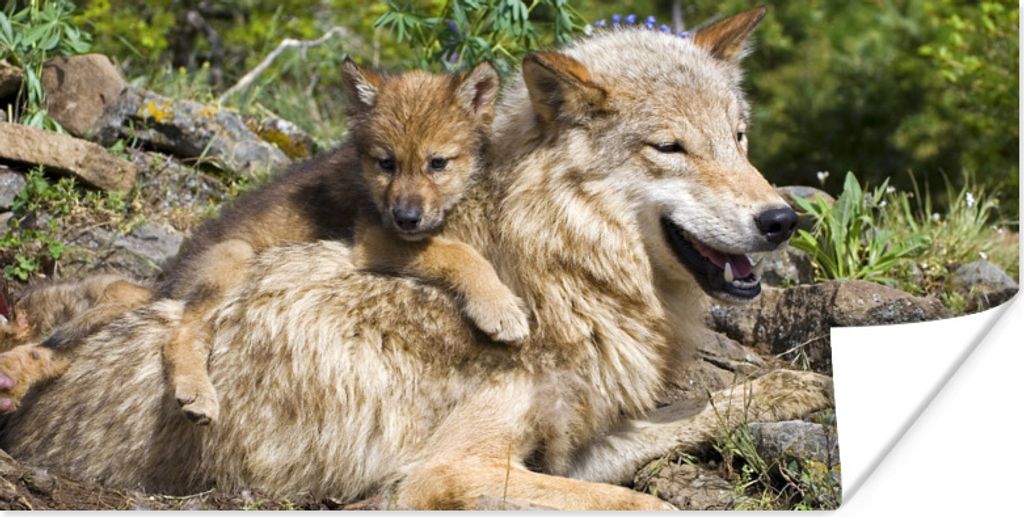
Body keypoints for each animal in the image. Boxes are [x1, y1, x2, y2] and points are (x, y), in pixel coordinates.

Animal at [0, 60, 527, 421]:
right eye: (387, 163)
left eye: (438, 163)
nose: (407, 216)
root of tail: (167, 282)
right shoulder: (374, 237)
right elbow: (459, 253)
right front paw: (500, 308)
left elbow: (453, 246)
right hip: (233, 257)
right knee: (178, 333)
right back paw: (198, 393)